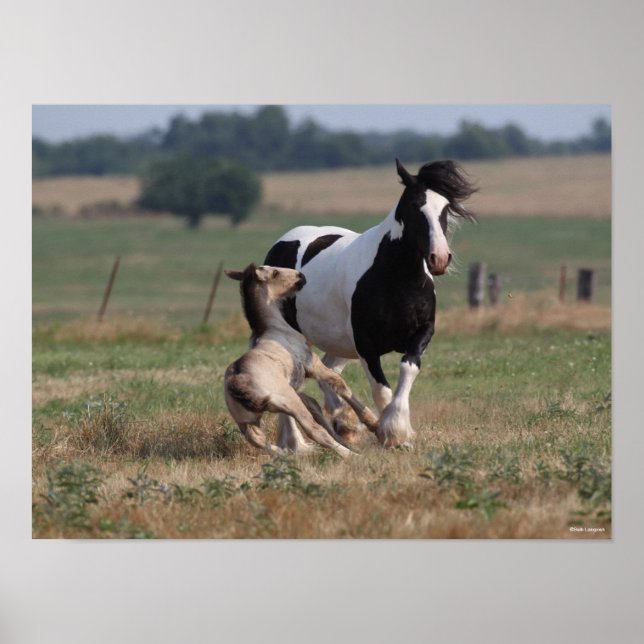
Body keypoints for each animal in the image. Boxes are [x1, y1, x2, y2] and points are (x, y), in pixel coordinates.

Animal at [223, 264, 379, 458]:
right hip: (290, 403)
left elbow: (314, 405)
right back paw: (351, 455)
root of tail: (238, 384)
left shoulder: (296, 386)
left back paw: (284, 453)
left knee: (258, 440)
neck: (276, 328)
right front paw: (374, 423)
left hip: (246, 422)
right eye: (275, 272)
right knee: (313, 430)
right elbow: (339, 384)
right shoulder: (313, 364)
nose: (301, 276)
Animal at [263, 159, 477, 448]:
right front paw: (391, 434)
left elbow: (408, 368)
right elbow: (381, 390)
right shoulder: (366, 345)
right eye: (414, 204)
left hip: (339, 342)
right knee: (295, 381)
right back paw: (295, 444)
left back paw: (343, 422)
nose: (440, 258)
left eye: (445, 207)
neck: (395, 278)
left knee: (329, 370)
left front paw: (398, 431)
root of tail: (281, 243)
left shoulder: (422, 332)